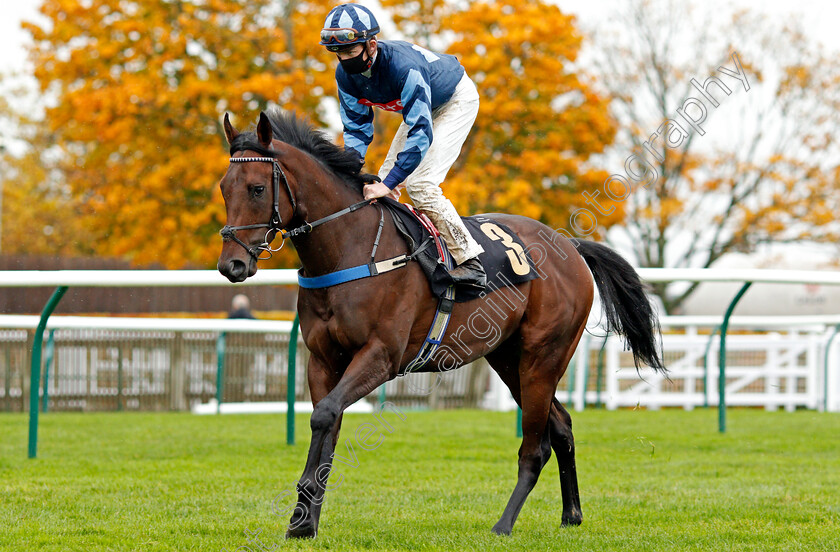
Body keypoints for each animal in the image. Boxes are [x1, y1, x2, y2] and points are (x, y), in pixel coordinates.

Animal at [218, 110, 668, 536]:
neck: (349, 249)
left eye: (257, 189)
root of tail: (569, 245)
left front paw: (302, 515)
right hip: (509, 360)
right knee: (562, 428)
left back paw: (504, 524)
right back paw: (571, 515)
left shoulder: (382, 356)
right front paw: (303, 523)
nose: (231, 265)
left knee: (536, 446)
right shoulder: (323, 359)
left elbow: (325, 415)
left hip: (543, 357)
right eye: (224, 187)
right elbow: (327, 424)